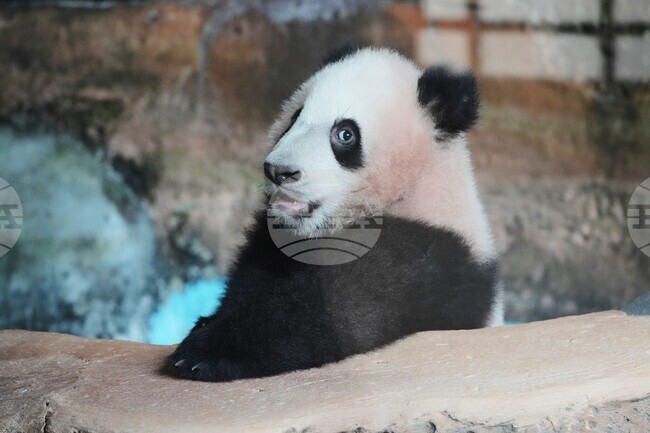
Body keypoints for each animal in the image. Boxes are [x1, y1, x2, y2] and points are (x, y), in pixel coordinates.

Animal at [167, 46, 503, 382]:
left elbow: (342, 313)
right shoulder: (276, 239)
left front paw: (204, 352)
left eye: (345, 134)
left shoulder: (428, 253)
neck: (414, 186)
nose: (279, 171)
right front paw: (206, 324)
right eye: (295, 116)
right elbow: (254, 275)